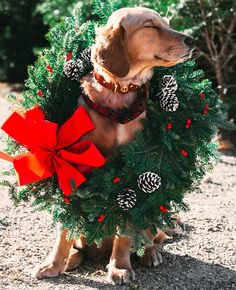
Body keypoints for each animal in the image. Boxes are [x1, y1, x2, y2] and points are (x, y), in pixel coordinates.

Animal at [32, 7, 195, 286]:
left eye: (166, 23)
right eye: (151, 26)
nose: (193, 41)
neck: (118, 91)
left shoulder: (132, 171)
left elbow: (125, 232)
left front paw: (120, 267)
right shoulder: (73, 168)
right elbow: (64, 226)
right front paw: (52, 264)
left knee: (150, 236)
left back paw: (149, 253)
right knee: (81, 241)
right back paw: (73, 257)